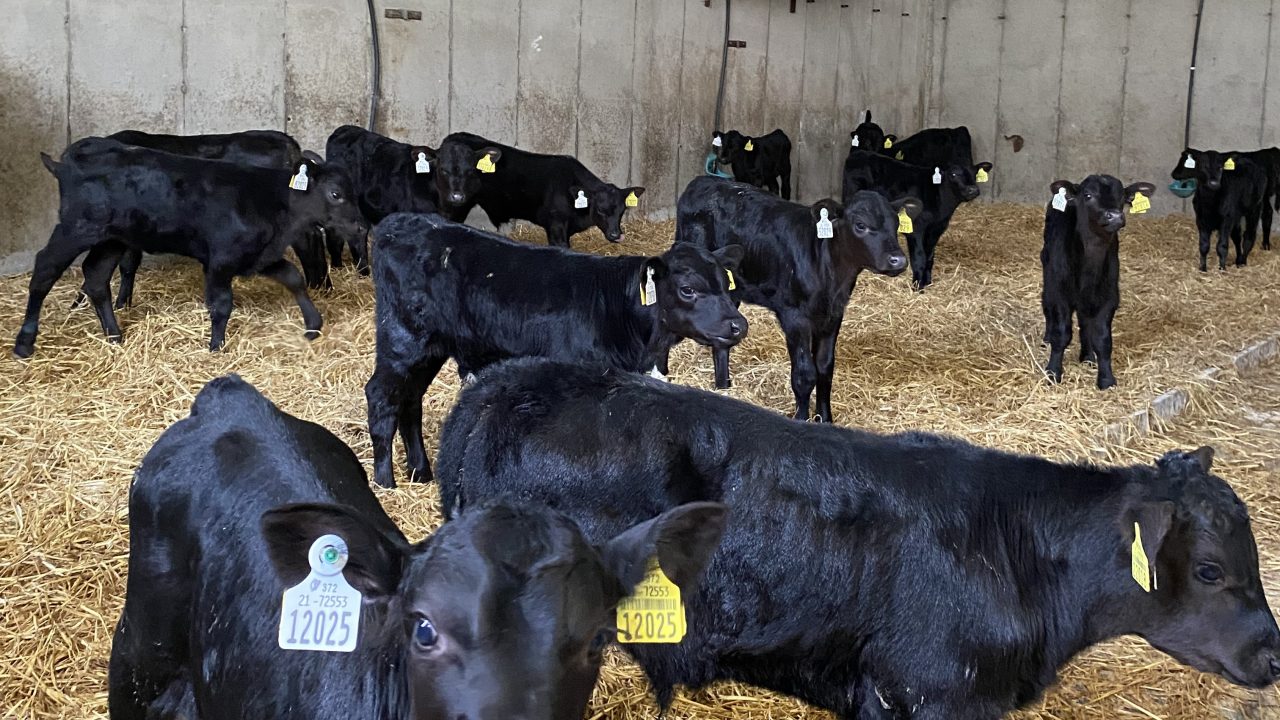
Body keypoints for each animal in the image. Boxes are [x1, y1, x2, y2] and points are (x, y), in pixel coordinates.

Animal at [365, 211, 747, 488]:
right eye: (687, 289)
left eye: (725, 284)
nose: (738, 325)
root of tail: (402, 221)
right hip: (402, 340)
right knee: (381, 396)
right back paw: (386, 482)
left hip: (430, 347)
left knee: (410, 400)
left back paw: (420, 473)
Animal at [675, 175, 916, 422]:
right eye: (860, 225)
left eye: (896, 224)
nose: (898, 260)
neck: (828, 273)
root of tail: (704, 180)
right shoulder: (794, 317)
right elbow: (804, 373)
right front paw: (802, 418)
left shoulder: (833, 315)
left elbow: (825, 368)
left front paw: (825, 418)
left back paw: (724, 387)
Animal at [843, 150, 992, 289]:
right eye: (954, 174)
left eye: (975, 173)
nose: (972, 189)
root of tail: (860, 153)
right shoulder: (916, 227)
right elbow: (919, 257)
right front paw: (918, 286)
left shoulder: (937, 228)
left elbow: (930, 257)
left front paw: (928, 282)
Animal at [1040, 175, 1155, 390]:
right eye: (1088, 195)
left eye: (1122, 197)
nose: (1115, 216)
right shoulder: (1061, 294)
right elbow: (1062, 333)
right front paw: (1053, 372)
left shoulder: (1109, 297)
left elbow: (1102, 339)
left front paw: (1106, 379)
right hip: (1048, 276)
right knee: (1046, 305)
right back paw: (1047, 337)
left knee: (1085, 322)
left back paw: (1087, 356)